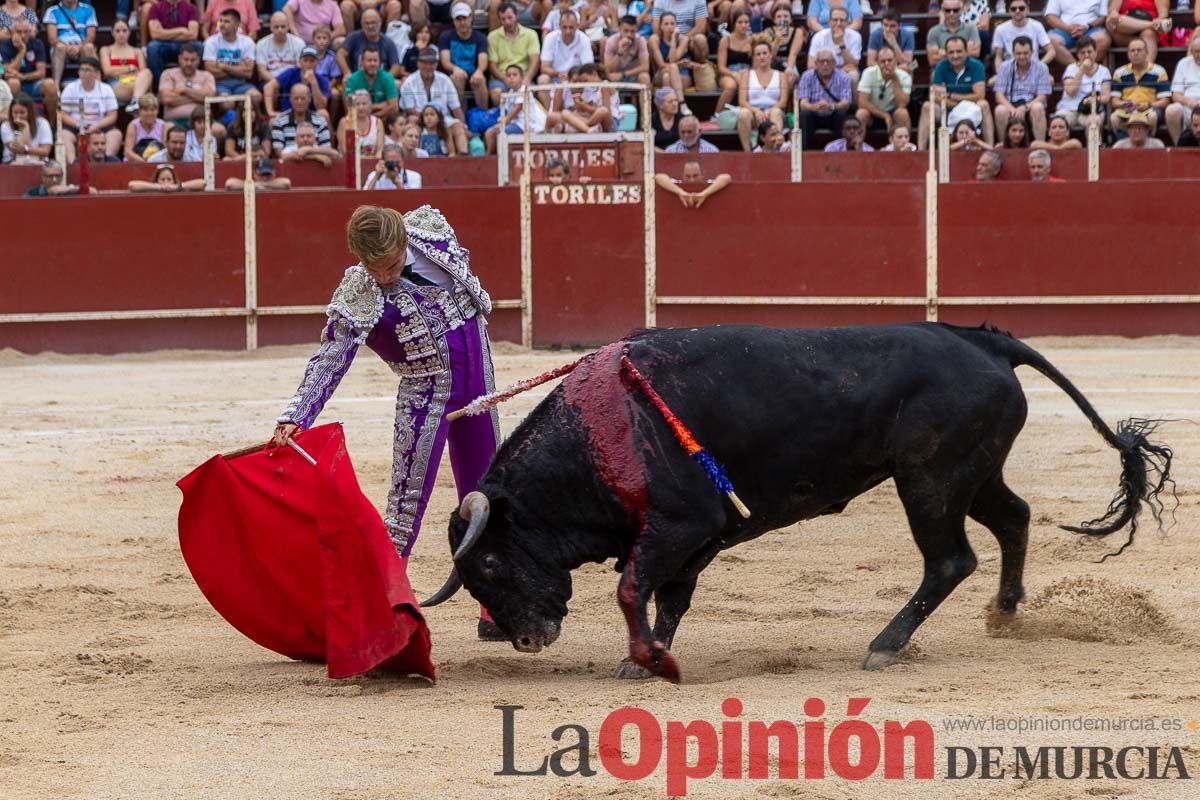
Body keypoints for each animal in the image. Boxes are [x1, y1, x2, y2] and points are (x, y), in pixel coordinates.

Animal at [422, 321, 1171, 686]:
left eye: (488, 565)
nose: (526, 638)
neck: (599, 435)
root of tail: (982, 339)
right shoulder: (698, 535)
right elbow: (669, 596)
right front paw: (649, 656)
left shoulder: (679, 524)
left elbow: (634, 587)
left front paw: (646, 660)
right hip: (971, 472)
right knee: (1013, 517)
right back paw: (1006, 613)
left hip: (929, 481)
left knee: (950, 560)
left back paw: (885, 646)